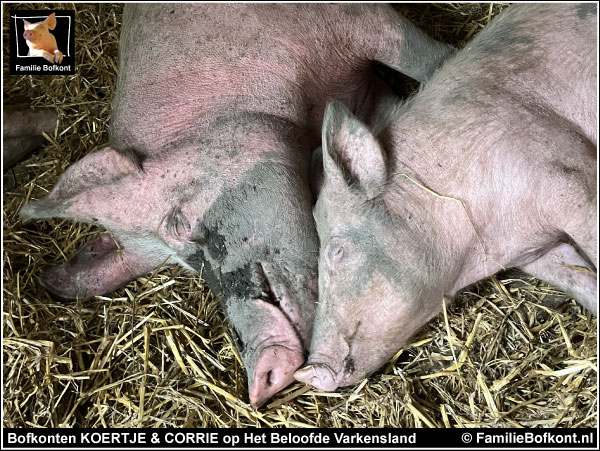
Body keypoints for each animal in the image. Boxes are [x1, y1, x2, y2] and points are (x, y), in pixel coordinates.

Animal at [296, 2, 596, 392]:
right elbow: (582, 282)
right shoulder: (538, 253)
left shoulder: (570, 180)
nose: (306, 371)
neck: (483, 245)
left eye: (337, 251)